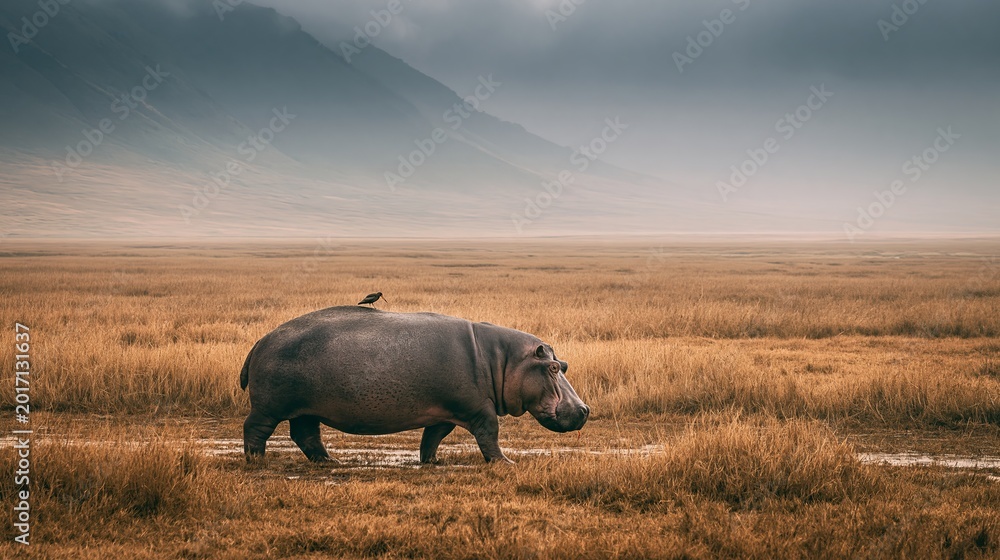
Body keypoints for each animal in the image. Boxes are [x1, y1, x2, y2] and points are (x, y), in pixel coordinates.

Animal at [239, 306, 589, 464]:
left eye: (565, 365)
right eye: (553, 367)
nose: (585, 409)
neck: (503, 360)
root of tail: (262, 340)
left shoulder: (446, 412)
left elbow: (432, 437)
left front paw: (431, 462)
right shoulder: (479, 409)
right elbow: (490, 434)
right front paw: (506, 463)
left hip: (306, 409)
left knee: (306, 434)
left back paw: (330, 462)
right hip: (270, 407)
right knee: (255, 428)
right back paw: (256, 460)